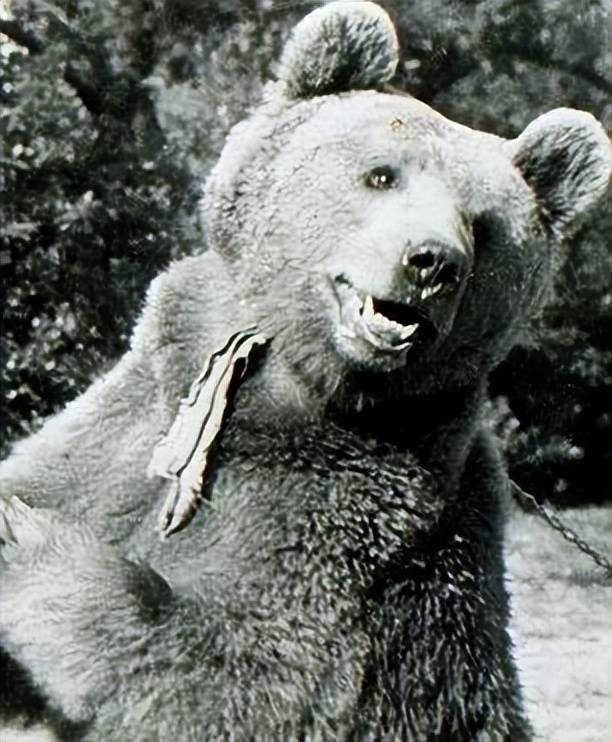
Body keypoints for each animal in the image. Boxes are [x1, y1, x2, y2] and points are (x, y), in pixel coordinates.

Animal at [0, 1, 610, 740]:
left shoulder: (353, 525)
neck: (286, 380)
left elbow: (243, 679)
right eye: (383, 174)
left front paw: (29, 543)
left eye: (484, 223)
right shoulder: (142, 413)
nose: (433, 261)